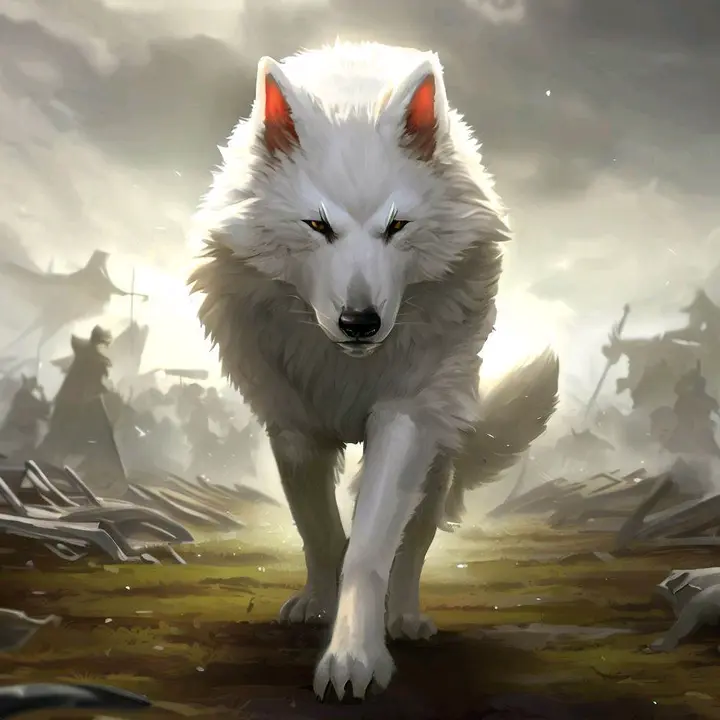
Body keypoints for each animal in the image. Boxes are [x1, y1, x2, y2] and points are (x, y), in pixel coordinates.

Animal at [189, 41, 559, 700]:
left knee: (415, 542)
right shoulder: (294, 430)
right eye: (318, 225)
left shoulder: (404, 419)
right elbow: (320, 533)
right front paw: (322, 607)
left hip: (439, 449)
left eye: (396, 226)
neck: (345, 367)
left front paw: (354, 657)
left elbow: (368, 550)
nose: (359, 321)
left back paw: (405, 617)